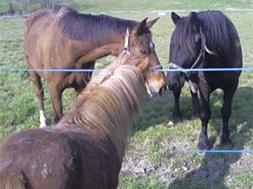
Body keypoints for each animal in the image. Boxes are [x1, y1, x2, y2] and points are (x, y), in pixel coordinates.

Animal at [24, 7, 162, 127]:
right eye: (142, 51)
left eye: (154, 46)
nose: (161, 84)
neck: (69, 47)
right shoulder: (54, 89)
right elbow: (58, 116)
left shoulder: (81, 86)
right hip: (33, 71)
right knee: (39, 94)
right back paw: (43, 122)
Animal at [167, 10, 242, 149]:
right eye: (172, 43)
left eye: (195, 41)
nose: (171, 81)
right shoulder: (204, 86)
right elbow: (205, 114)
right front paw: (203, 141)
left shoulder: (232, 86)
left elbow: (226, 111)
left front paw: (225, 138)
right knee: (177, 94)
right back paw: (176, 115)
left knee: (193, 91)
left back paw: (195, 110)